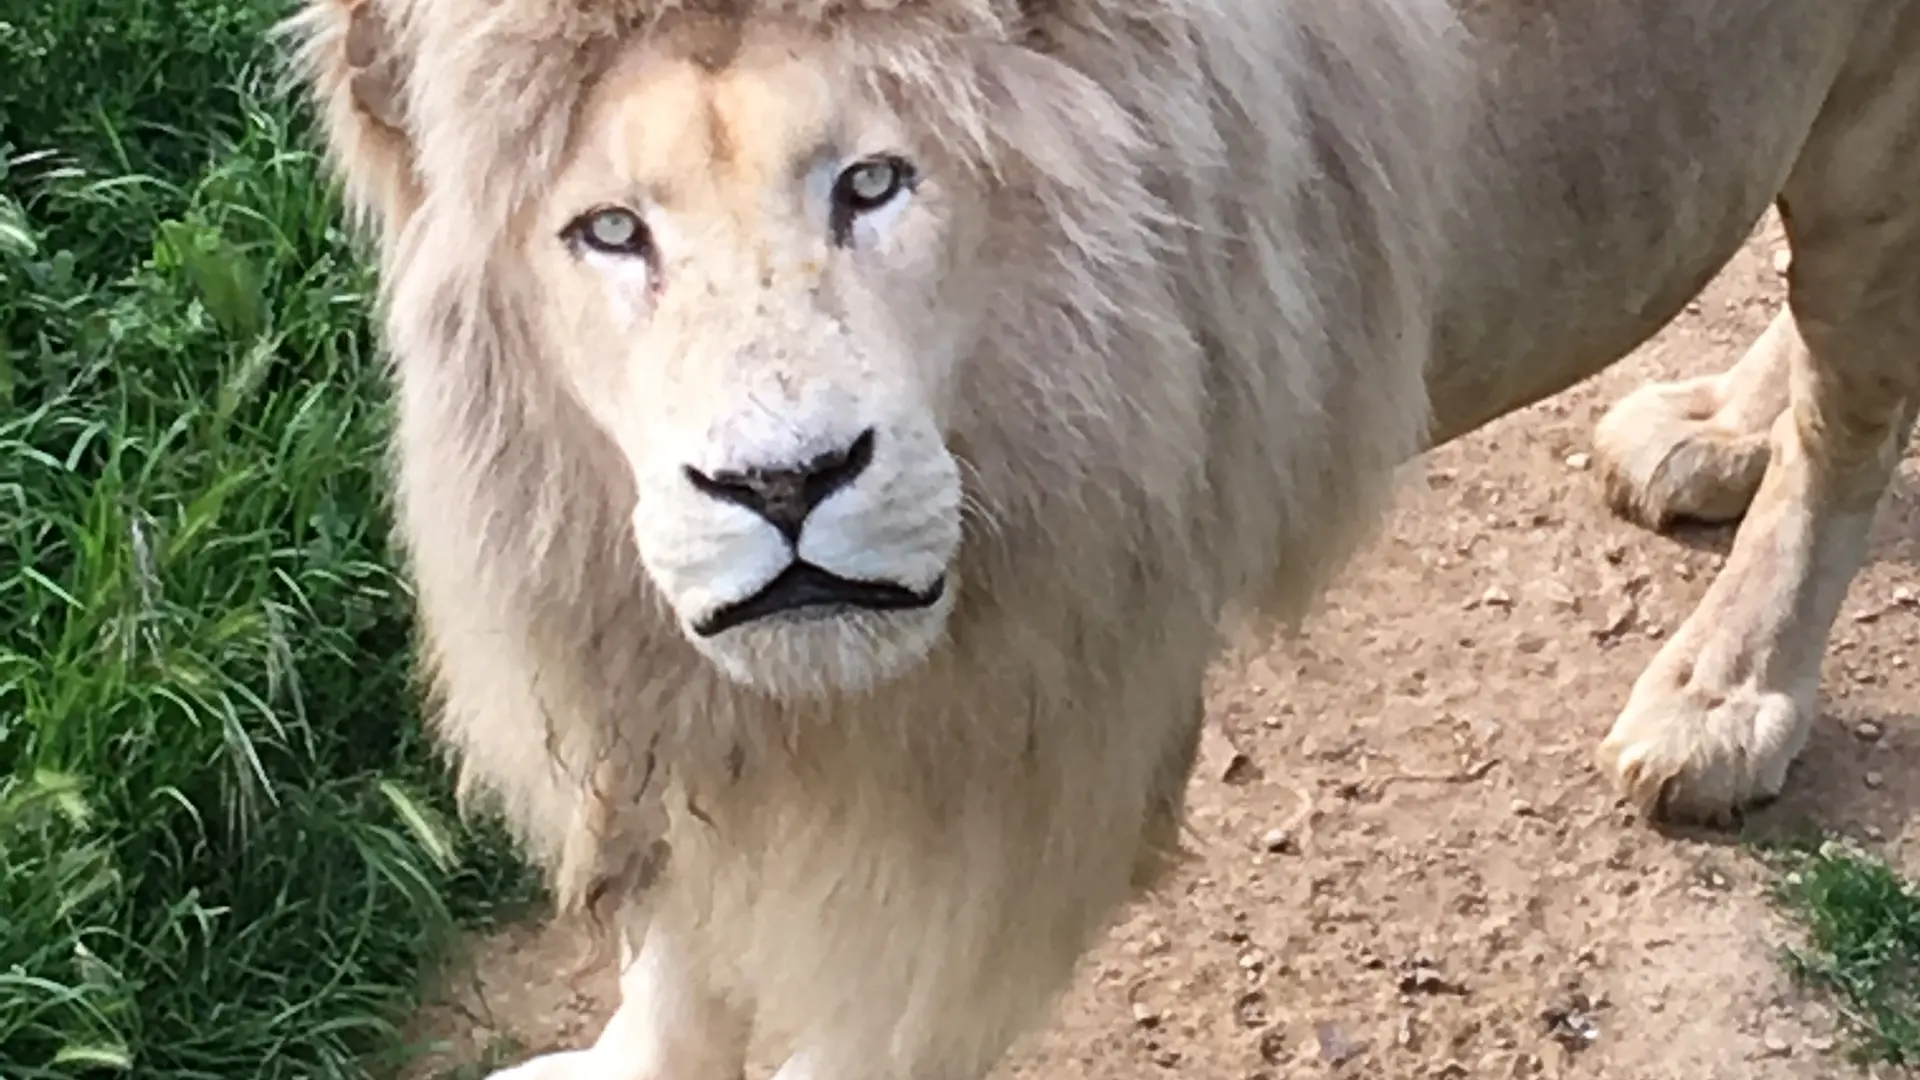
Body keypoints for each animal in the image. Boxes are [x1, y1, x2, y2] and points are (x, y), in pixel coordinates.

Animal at [279, 0, 1920, 1076]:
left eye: (874, 182)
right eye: (612, 232)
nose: (785, 485)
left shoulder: (1016, 771)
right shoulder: (669, 692)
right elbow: (678, 966)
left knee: (1853, 422)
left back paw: (1728, 691)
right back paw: (1712, 430)